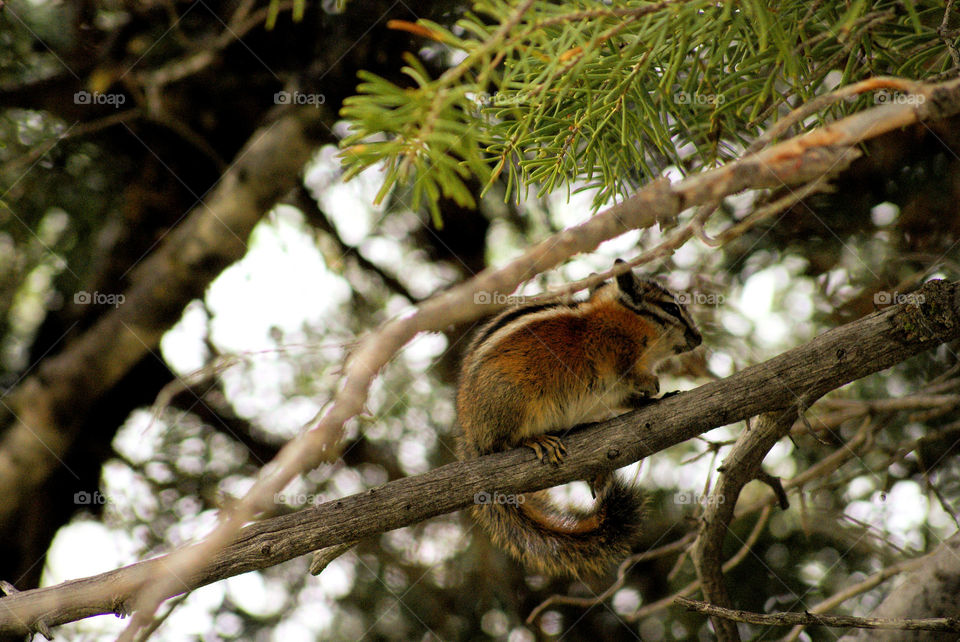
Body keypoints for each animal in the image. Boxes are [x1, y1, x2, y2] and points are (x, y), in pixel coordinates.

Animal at [456, 261, 702, 577]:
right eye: (671, 308)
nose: (699, 338)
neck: (624, 320)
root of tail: (470, 436)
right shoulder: (614, 355)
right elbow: (630, 374)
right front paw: (652, 384)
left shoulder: (614, 393)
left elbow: (628, 399)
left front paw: (659, 395)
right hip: (511, 399)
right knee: (502, 443)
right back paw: (537, 440)